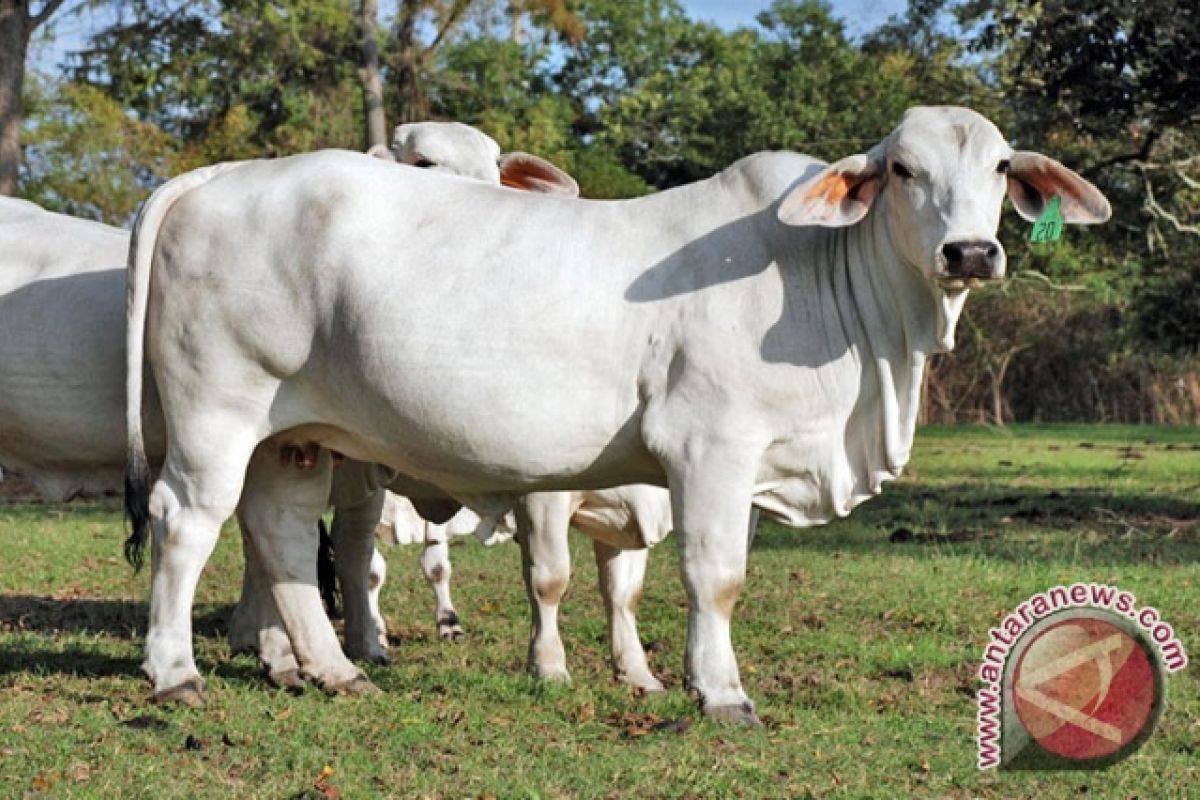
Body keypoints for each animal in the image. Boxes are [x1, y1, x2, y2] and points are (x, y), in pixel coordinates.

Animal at [126, 103, 1108, 724]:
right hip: (219, 413)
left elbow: (637, 584)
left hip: (291, 438)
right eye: (903, 169)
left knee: (284, 535)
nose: (970, 252)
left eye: (999, 167)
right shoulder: (710, 450)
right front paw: (721, 695)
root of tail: (218, 178)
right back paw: (174, 674)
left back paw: (331, 671)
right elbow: (712, 579)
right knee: (188, 522)